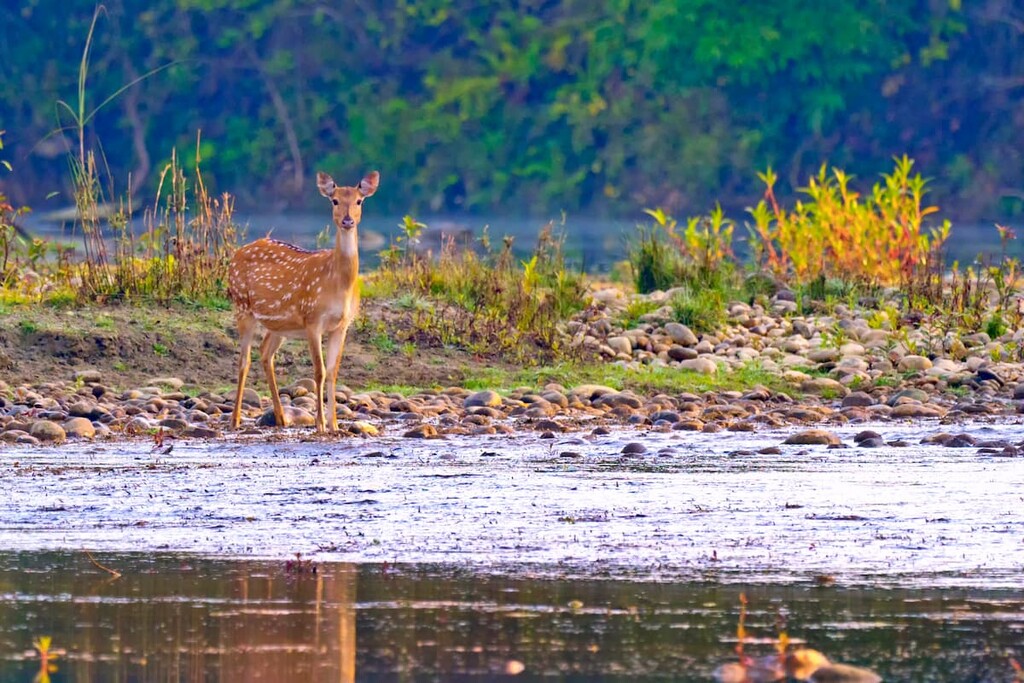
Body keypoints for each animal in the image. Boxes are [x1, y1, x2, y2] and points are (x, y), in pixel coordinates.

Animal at [227, 170, 379, 433]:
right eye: (334, 201)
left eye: (359, 201)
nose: (347, 220)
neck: (338, 284)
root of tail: (234, 256)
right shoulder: (312, 319)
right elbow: (319, 371)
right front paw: (320, 423)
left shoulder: (342, 325)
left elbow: (333, 371)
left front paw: (334, 424)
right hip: (242, 306)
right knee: (243, 360)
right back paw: (235, 419)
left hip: (279, 324)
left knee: (265, 352)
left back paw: (281, 417)